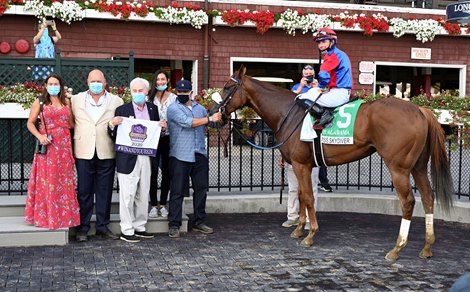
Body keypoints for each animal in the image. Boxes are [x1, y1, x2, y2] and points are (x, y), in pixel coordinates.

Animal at [218, 66, 454, 260]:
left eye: (227, 86)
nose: (216, 111)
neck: (288, 114)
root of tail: (420, 110)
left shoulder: (301, 165)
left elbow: (309, 198)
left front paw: (310, 235)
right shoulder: (302, 165)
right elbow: (302, 196)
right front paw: (299, 229)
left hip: (399, 168)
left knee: (408, 202)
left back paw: (397, 248)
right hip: (418, 167)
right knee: (428, 197)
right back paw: (427, 247)